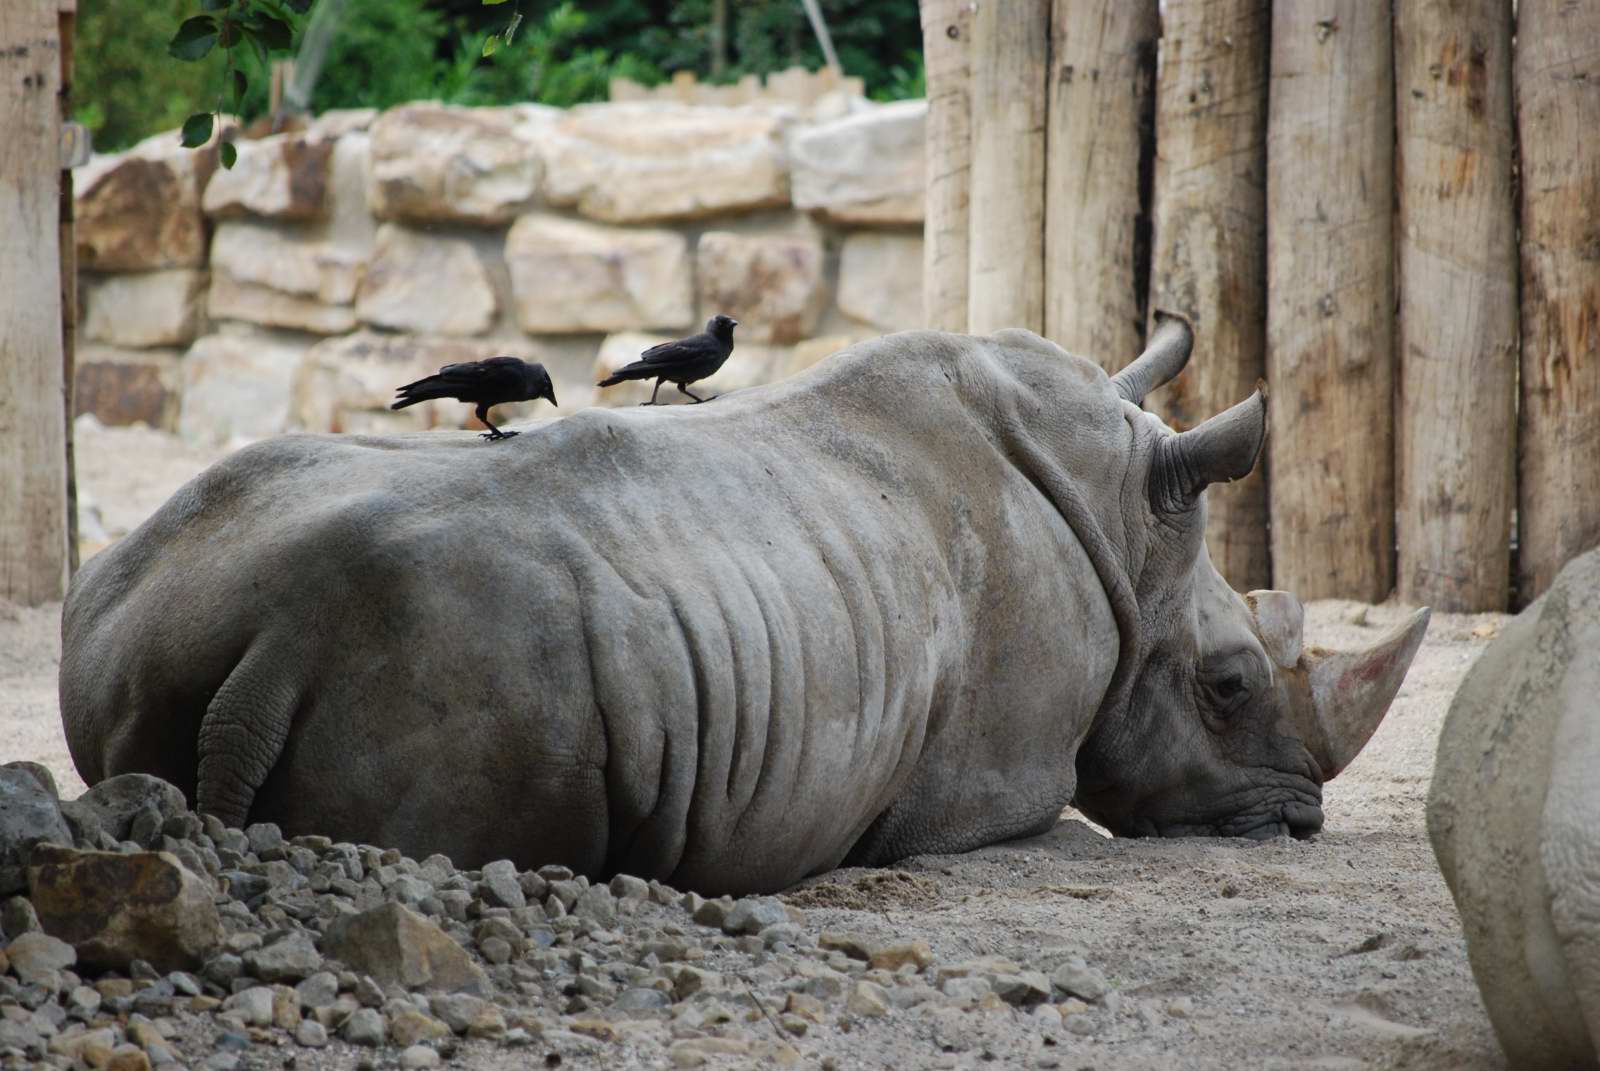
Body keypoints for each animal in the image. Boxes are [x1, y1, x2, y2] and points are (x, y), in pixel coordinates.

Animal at [62, 321, 1433, 890]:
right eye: (1229, 685)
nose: (1297, 823)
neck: (1123, 525)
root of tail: (281, 648)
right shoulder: (989, 792)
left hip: (153, 602)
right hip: (471, 662)